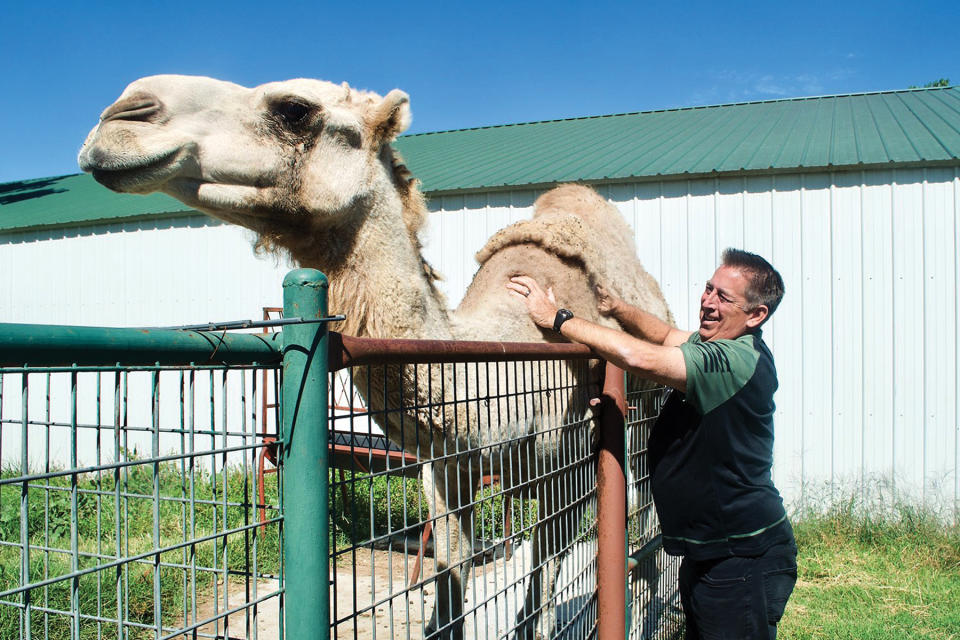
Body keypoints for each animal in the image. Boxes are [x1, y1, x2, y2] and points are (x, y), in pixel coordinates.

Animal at [79, 74, 672, 636]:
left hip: (642, 412)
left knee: (644, 523)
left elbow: (540, 595)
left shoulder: (567, 463)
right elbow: (449, 583)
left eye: (294, 108)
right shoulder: (446, 465)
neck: (495, 363)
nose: (121, 116)